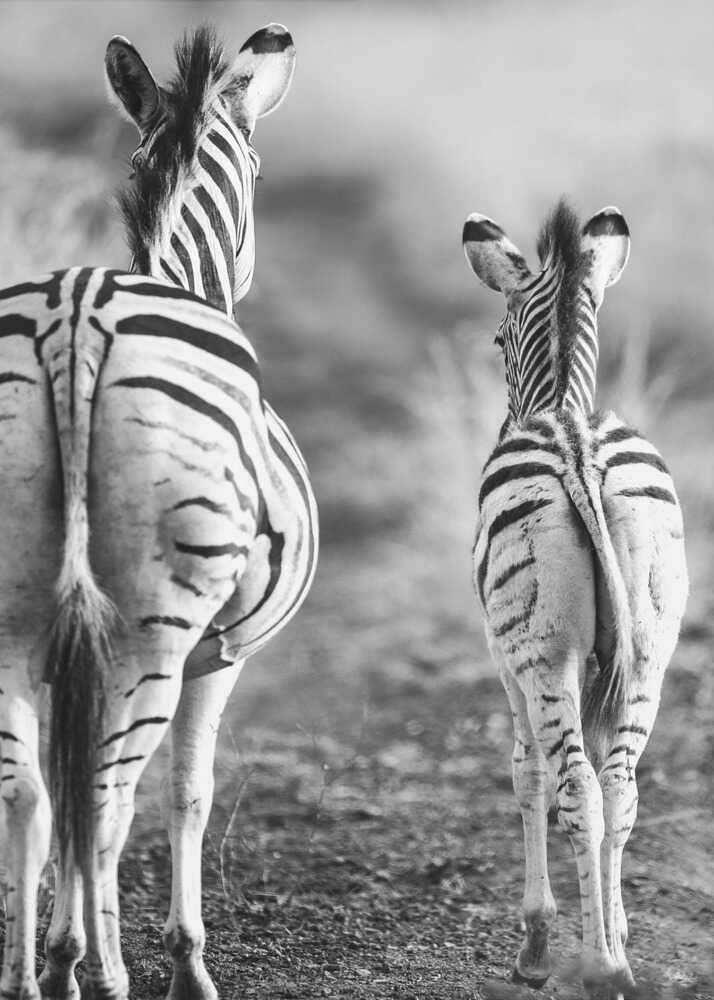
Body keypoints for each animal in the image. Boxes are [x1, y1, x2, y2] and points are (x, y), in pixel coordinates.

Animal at [0, 24, 317, 1000]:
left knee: (32, 792)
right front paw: (183, 963)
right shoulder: (221, 653)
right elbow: (187, 794)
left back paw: (33, 979)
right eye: (259, 171)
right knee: (108, 794)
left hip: (14, 616)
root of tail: (77, 313)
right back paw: (106, 977)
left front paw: (57, 956)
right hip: (156, 630)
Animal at [462, 201, 687, 998]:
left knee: (579, 786)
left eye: (498, 340)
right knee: (619, 787)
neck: (560, 402)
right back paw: (612, 960)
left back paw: (594, 968)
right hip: (650, 649)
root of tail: (577, 450)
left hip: (545, 654)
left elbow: (525, 772)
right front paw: (615, 929)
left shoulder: (506, 658)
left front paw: (534, 942)